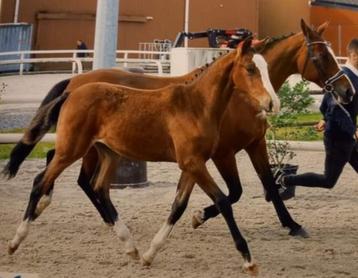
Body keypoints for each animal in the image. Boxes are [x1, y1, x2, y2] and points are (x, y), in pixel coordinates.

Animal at [8, 39, 276, 276]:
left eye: (265, 68)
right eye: (250, 69)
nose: (271, 103)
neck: (196, 106)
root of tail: (71, 92)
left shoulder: (192, 165)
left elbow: (178, 206)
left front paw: (150, 254)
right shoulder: (193, 163)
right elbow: (222, 202)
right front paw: (249, 261)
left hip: (107, 153)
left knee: (98, 187)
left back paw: (130, 246)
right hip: (72, 149)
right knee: (41, 181)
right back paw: (15, 241)